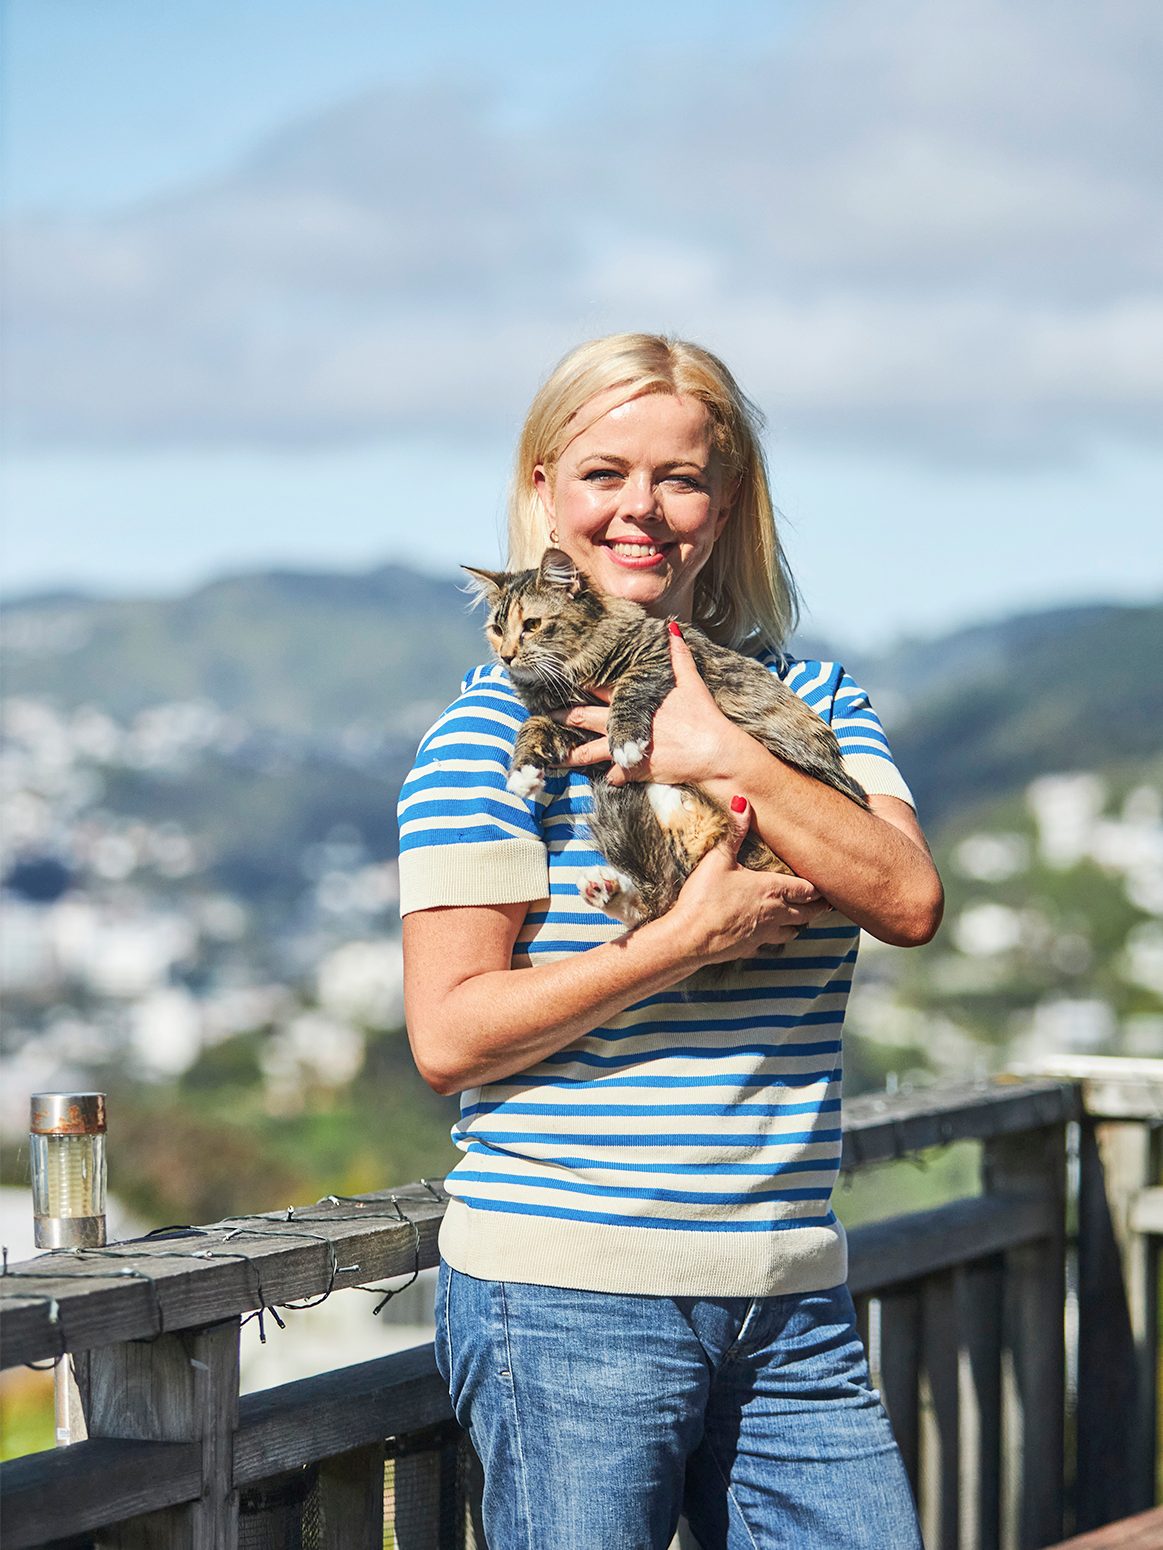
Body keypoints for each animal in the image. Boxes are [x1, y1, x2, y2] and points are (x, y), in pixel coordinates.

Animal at [462, 551, 868, 923]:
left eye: (532, 624)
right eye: (497, 630)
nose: (507, 656)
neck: (566, 675)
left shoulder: (659, 652)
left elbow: (628, 688)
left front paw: (626, 742)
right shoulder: (574, 726)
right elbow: (532, 727)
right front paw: (524, 773)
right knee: (659, 898)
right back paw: (604, 889)